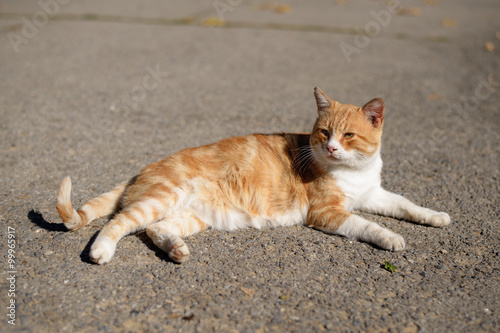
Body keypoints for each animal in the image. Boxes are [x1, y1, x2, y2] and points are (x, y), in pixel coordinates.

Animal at [56, 87, 452, 264]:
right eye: (324, 132)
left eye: (349, 135)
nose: (331, 148)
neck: (352, 172)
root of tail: (144, 167)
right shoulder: (327, 213)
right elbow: (368, 225)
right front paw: (391, 238)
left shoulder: (374, 195)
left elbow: (406, 205)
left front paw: (434, 216)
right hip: (163, 198)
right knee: (119, 222)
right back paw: (101, 251)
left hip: (192, 216)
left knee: (155, 230)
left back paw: (177, 250)